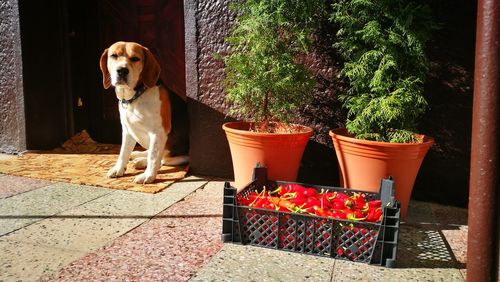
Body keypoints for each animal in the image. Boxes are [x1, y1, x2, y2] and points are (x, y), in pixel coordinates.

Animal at [100, 41, 189, 183]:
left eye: (135, 58)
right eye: (114, 56)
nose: (122, 70)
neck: (136, 97)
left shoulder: (158, 133)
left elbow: (153, 157)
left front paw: (148, 176)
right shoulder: (127, 130)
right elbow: (123, 152)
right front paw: (119, 169)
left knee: (162, 159)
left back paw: (142, 162)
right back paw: (139, 156)